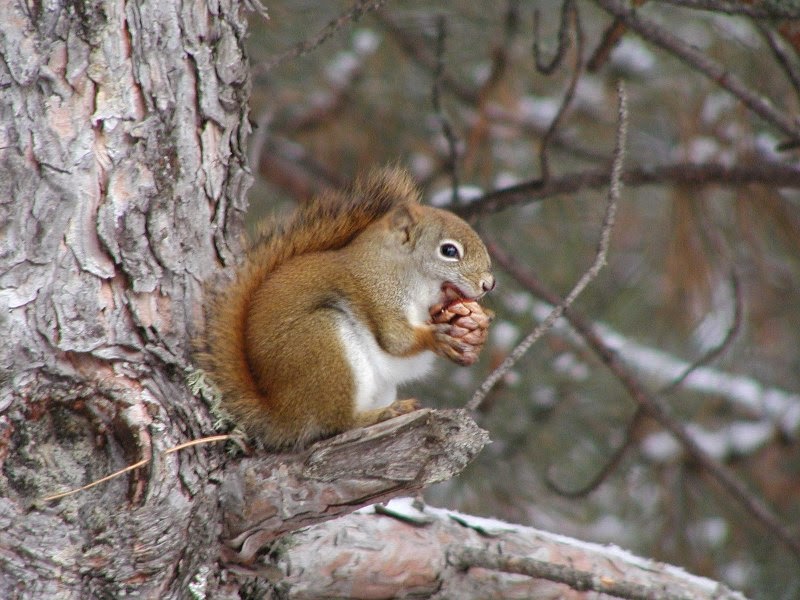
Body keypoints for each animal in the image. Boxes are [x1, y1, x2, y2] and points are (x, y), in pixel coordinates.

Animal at [200, 167, 495, 449]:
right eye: (449, 251)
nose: (489, 284)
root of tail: (283, 414)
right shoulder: (379, 293)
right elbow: (396, 340)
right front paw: (435, 336)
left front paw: (476, 331)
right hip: (323, 346)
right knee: (336, 422)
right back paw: (381, 415)